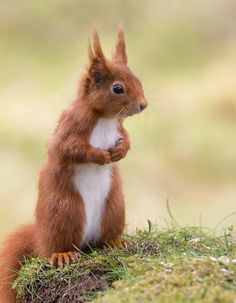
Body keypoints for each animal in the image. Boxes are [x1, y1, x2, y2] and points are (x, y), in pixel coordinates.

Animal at [0, 27, 148, 302]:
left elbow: (127, 139)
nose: (144, 105)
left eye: (138, 79)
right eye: (118, 88)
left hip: (114, 208)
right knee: (56, 245)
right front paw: (99, 156)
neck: (104, 118)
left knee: (103, 239)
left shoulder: (119, 127)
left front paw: (120, 151)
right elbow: (67, 148)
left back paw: (114, 242)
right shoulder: (72, 124)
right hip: (65, 211)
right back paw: (62, 254)